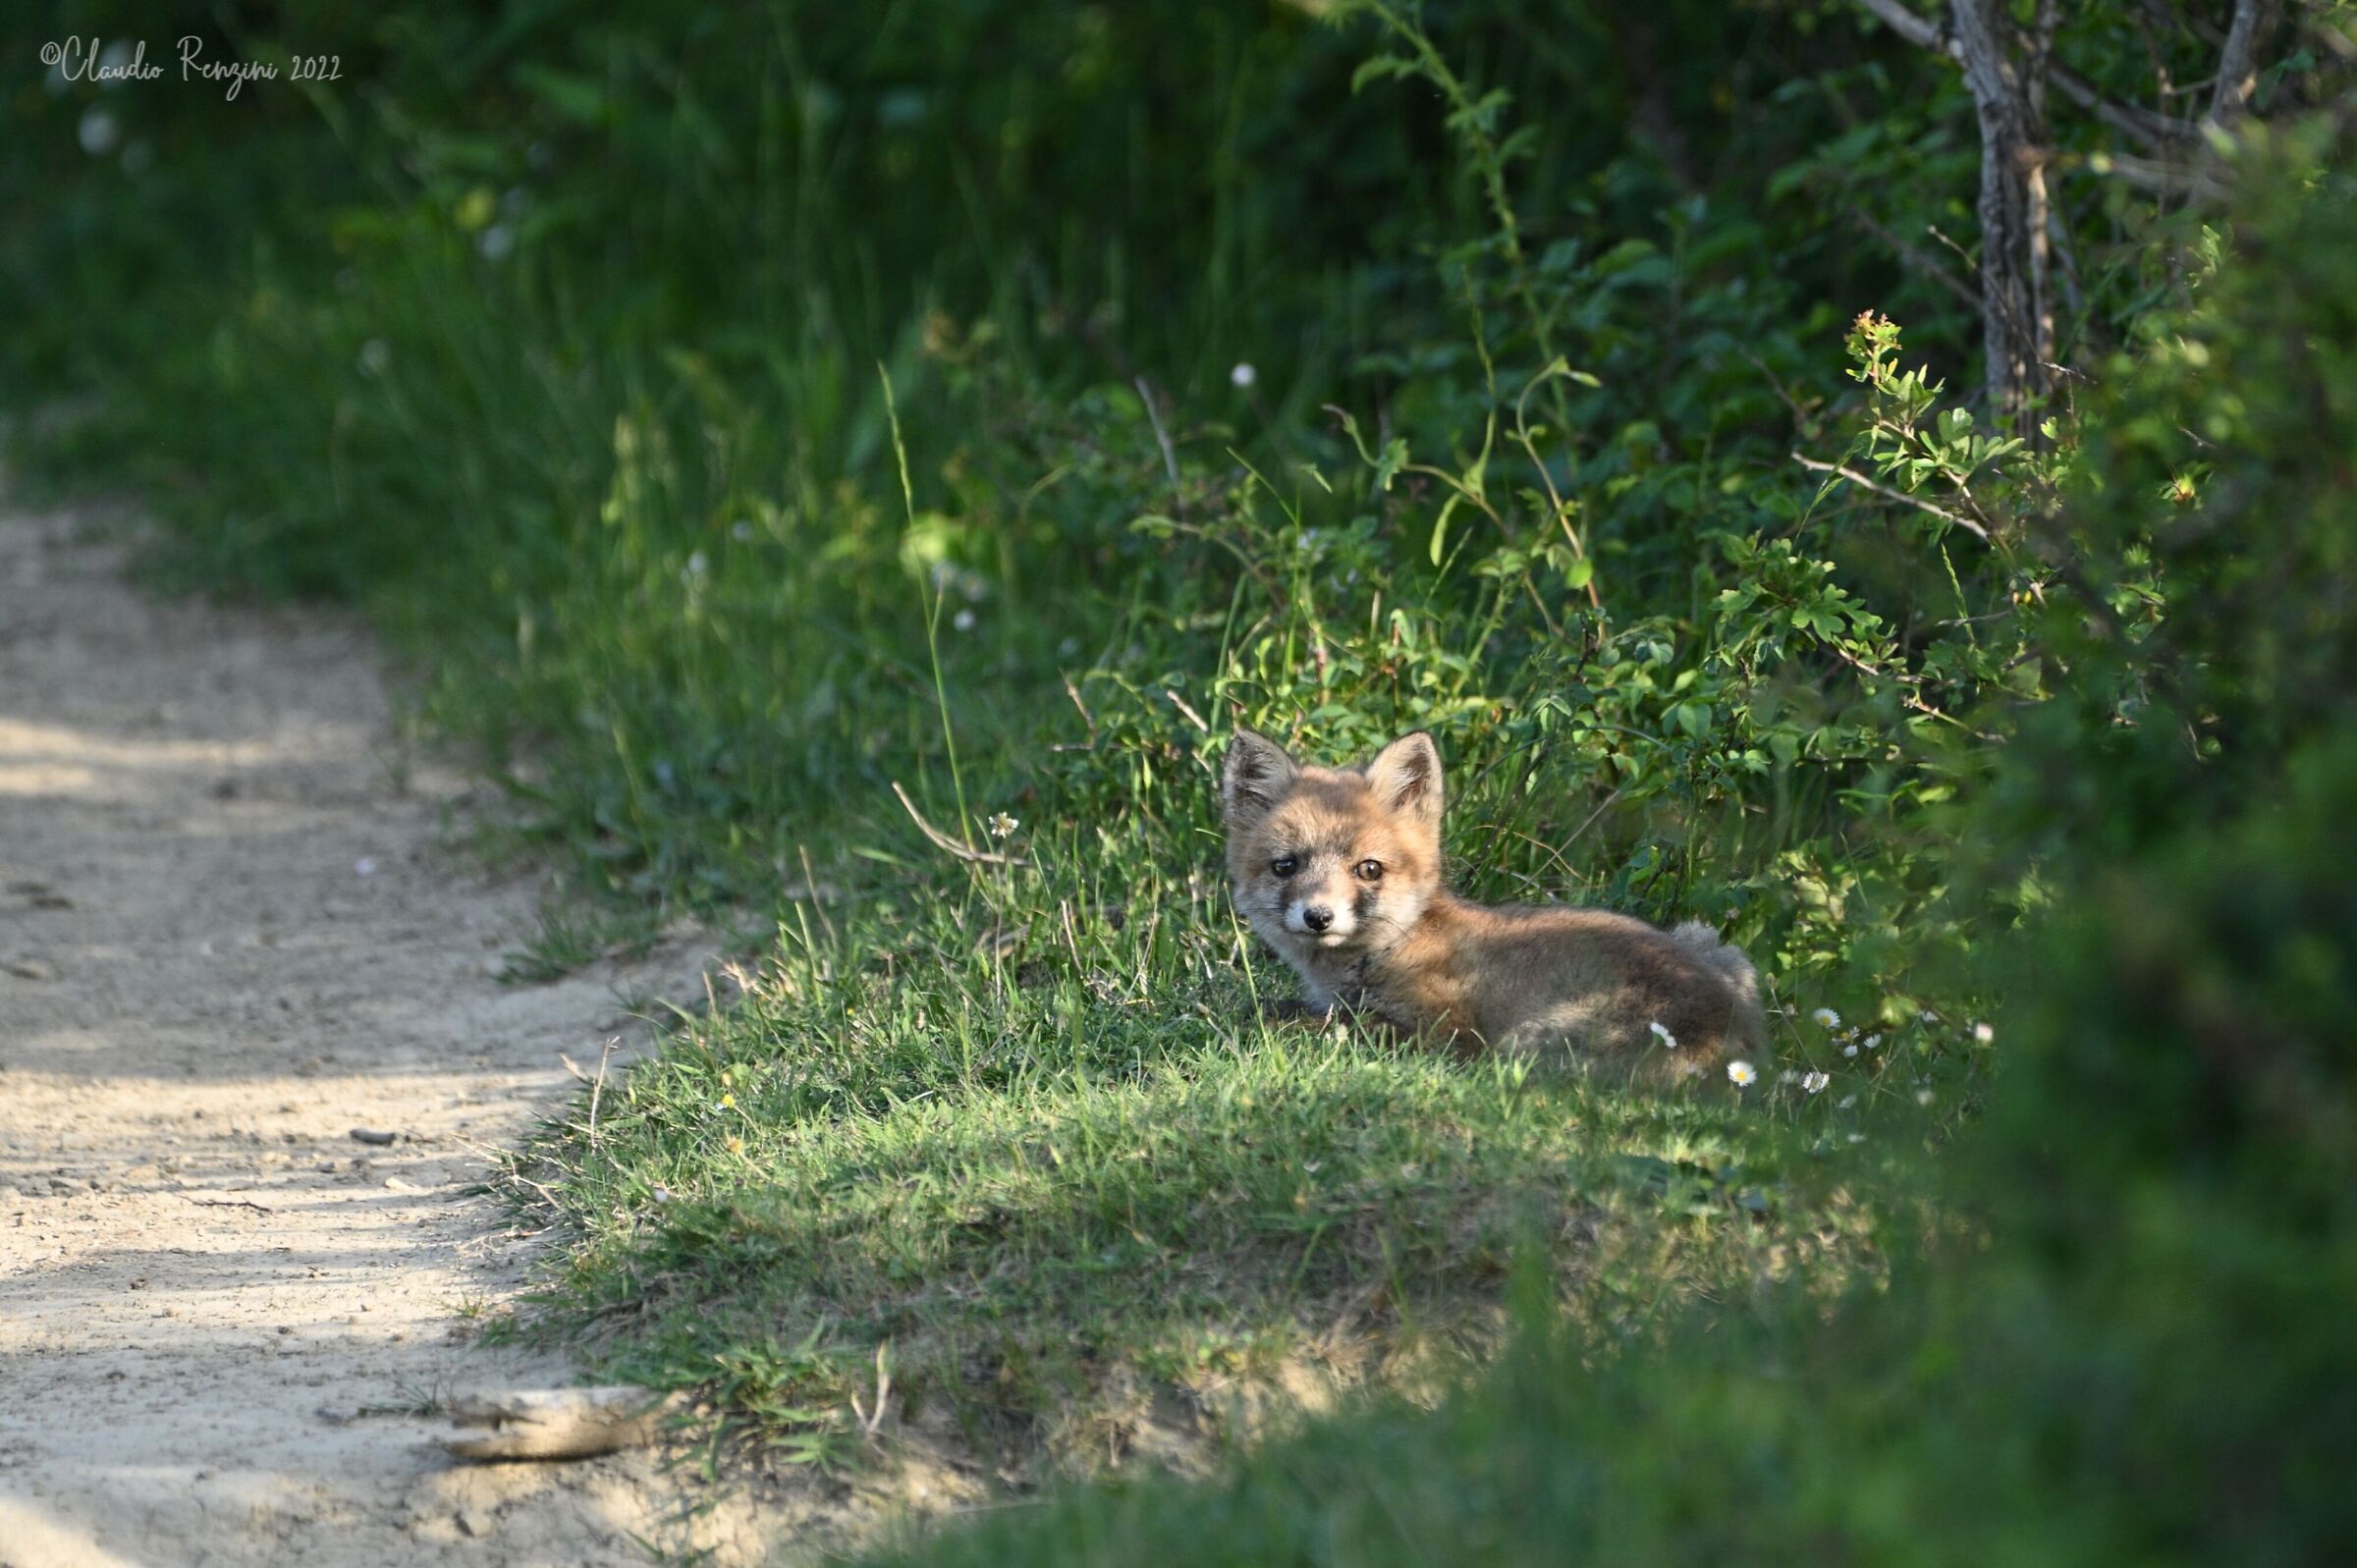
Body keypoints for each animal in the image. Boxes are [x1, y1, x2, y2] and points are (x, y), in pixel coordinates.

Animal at [1220, 727, 1766, 1082]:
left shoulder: (1447, 1035)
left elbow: (1307, 1024)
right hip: (1712, 943)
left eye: (1368, 869)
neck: (1395, 946)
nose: (1319, 917)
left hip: (1519, 1044)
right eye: (1286, 866)